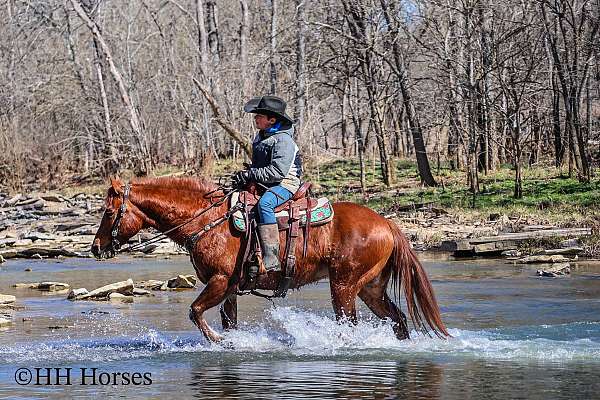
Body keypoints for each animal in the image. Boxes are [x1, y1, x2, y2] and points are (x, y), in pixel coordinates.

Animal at [92, 177, 450, 342]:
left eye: (109, 212)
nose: (96, 248)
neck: (208, 220)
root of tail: (387, 224)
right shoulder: (230, 289)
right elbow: (228, 320)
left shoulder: (219, 281)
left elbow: (195, 312)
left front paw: (218, 341)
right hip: (369, 288)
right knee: (398, 319)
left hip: (344, 287)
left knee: (350, 324)